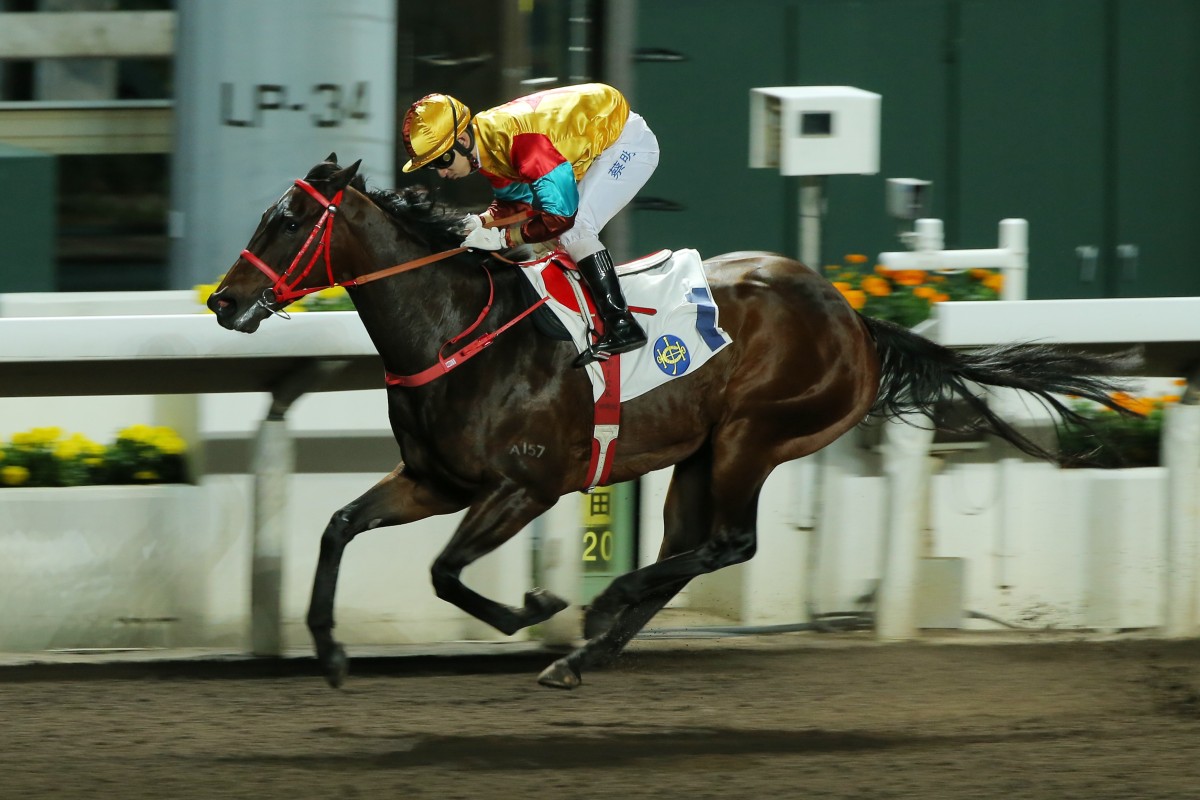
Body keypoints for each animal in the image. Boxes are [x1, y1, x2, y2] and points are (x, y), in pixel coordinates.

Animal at [211, 154, 1137, 690]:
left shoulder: (527, 485)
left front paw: (534, 607)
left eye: (288, 219)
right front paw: (330, 652)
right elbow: (339, 526)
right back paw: (588, 651)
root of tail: (854, 318)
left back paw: (598, 613)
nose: (224, 301)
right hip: (697, 457)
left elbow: (444, 573)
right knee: (692, 549)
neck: (456, 330)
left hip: (753, 435)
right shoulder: (435, 479)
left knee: (730, 543)